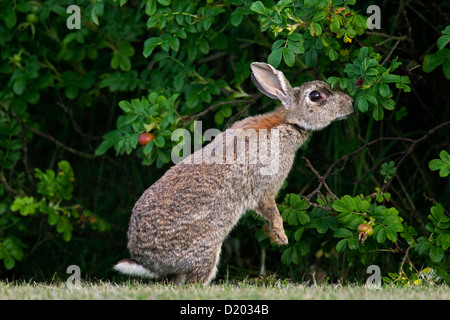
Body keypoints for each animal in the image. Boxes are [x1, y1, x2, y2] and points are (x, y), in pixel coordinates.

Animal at [114, 62, 354, 284]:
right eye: (316, 96)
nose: (351, 103)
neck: (289, 122)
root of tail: (146, 262)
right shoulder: (265, 187)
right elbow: (269, 209)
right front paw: (281, 236)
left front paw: (272, 235)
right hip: (206, 249)